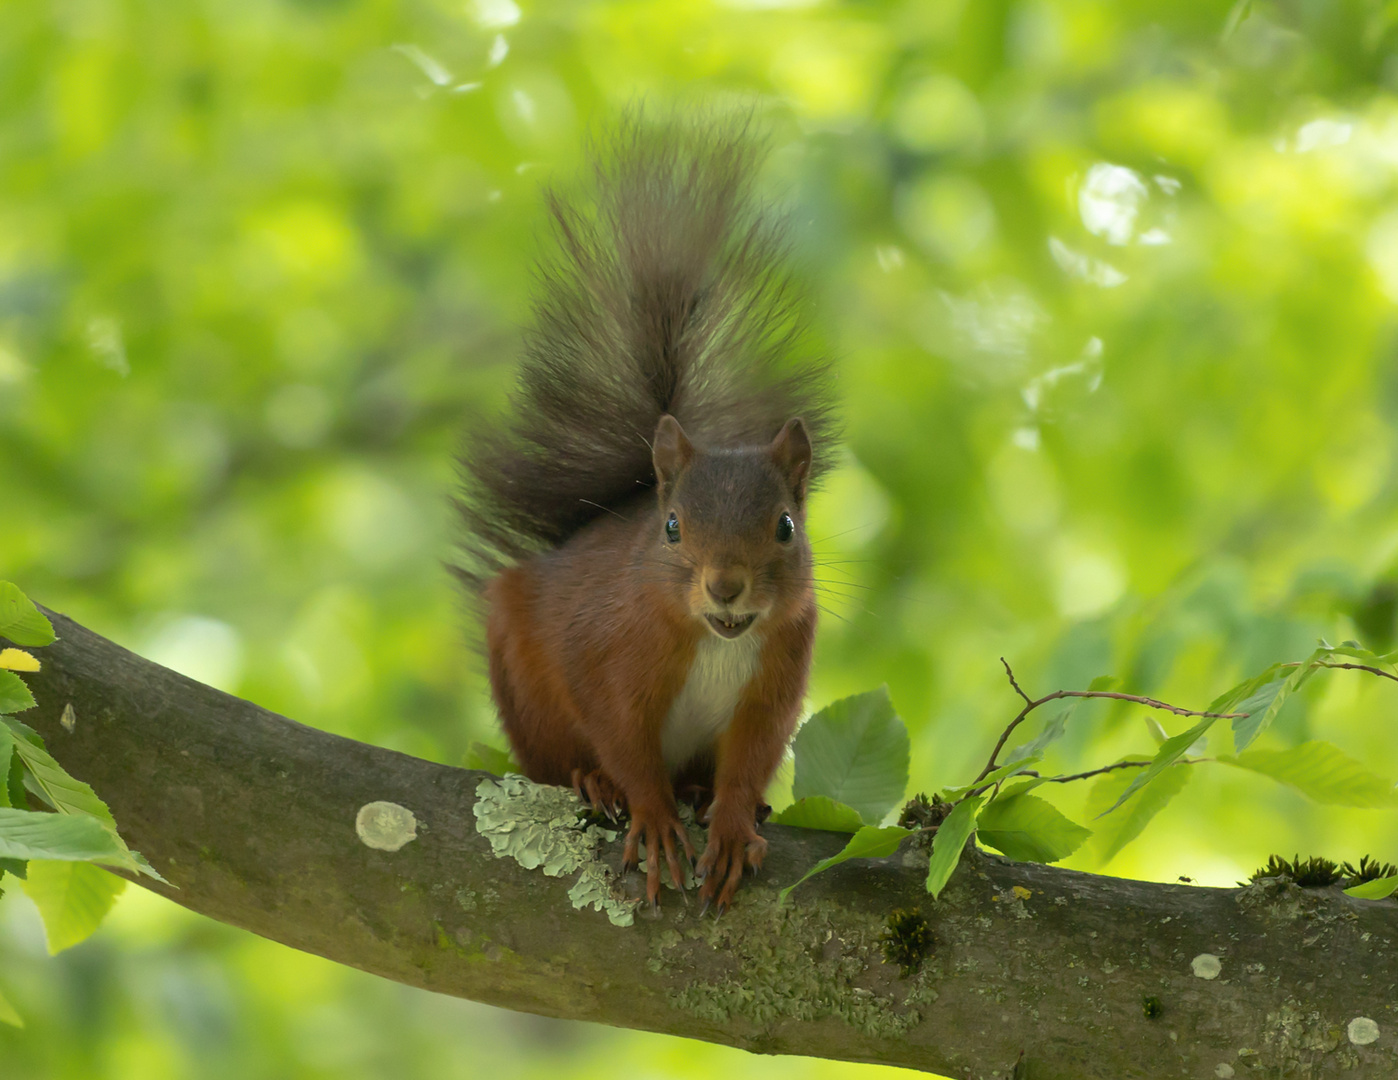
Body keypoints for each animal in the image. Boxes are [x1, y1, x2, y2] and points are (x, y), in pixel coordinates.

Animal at [455, 115, 827, 910]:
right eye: (673, 528)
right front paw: (653, 817)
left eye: (786, 527)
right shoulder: (610, 656)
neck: (716, 639)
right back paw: (593, 780)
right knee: (559, 760)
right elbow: (623, 739)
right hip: (525, 695)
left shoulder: (776, 682)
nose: (726, 585)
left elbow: (750, 758)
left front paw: (732, 822)